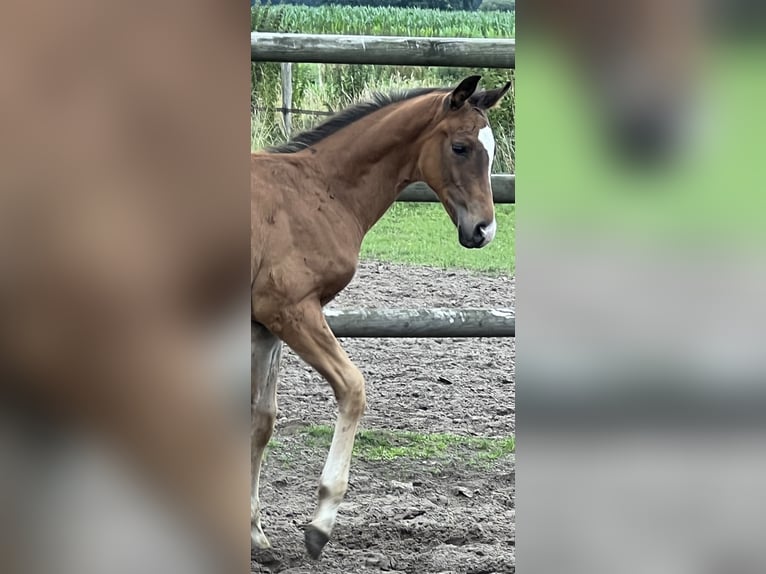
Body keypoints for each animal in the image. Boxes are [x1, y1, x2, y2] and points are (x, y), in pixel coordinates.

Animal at [254, 74, 510, 560]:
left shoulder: (264, 324)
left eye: (490, 148)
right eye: (461, 147)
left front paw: (255, 532)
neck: (319, 190)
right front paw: (319, 524)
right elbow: (353, 388)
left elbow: (261, 420)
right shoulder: (291, 309)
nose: (484, 230)